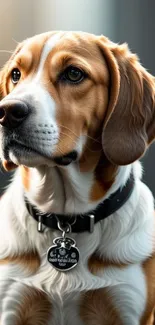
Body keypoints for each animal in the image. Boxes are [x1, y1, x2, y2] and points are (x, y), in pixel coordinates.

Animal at [0, 31, 155, 324]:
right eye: (16, 74)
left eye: (73, 74)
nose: (6, 112)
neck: (65, 219)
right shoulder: (11, 305)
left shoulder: (126, 307)